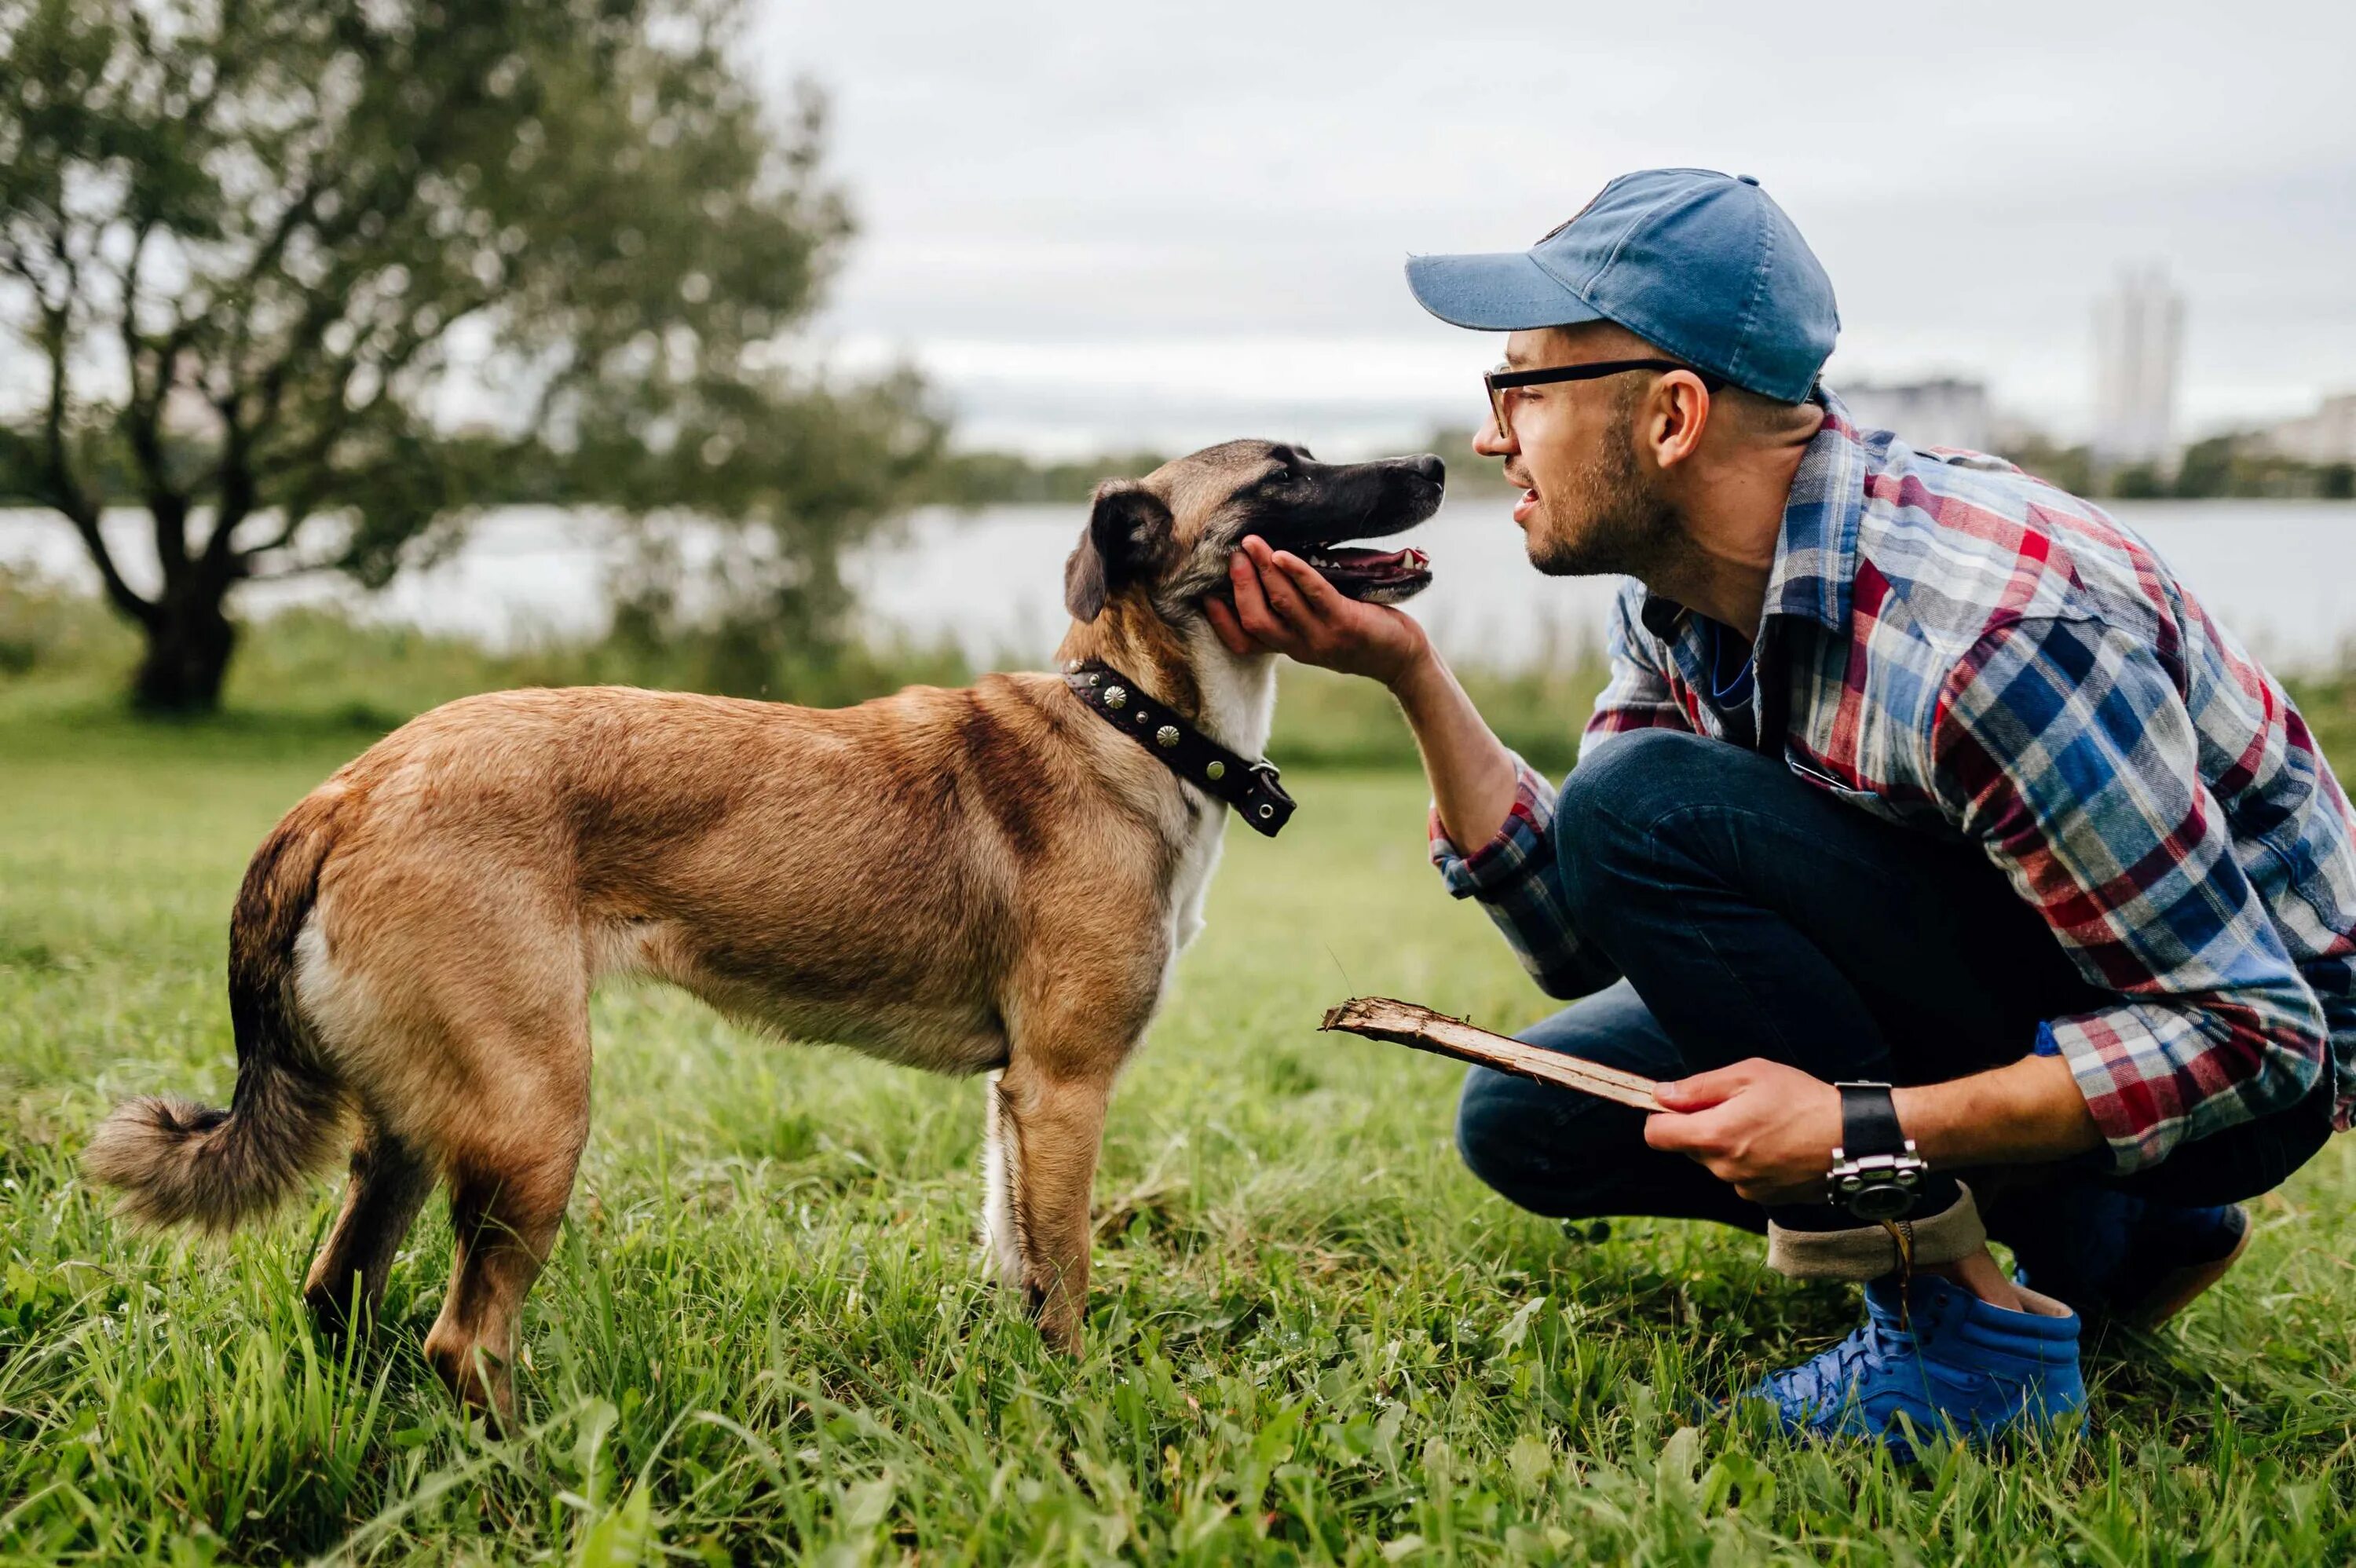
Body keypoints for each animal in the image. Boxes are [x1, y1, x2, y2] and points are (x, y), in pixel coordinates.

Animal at [87, 440, 1432, 1413]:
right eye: (1285, 471)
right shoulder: (1066, 1088)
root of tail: (348, 789)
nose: (1432, 463)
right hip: (533, 1117)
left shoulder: (1016, 1100)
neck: (1135, 721)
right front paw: (1079, 1414)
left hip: (420, 1124)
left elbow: (1017, 1257)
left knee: (339, 1293)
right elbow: (1066, 1282)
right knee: (462, 1337)